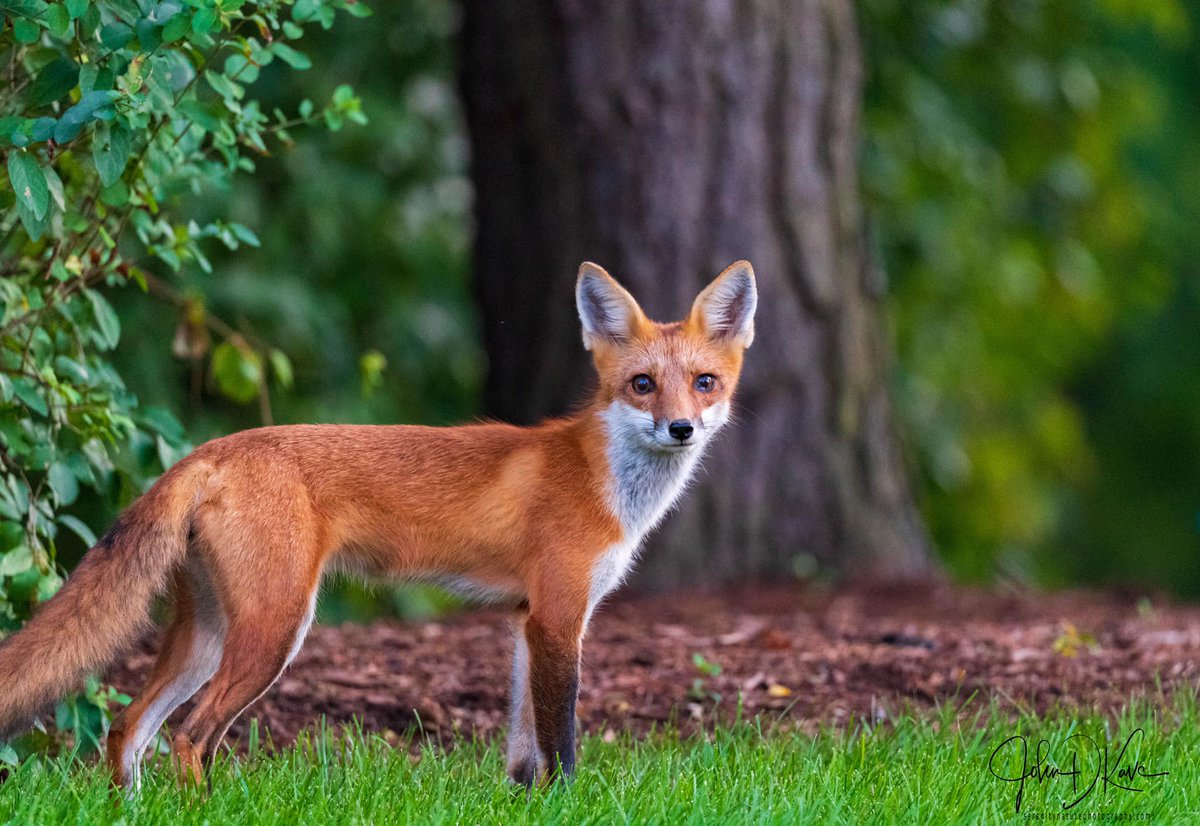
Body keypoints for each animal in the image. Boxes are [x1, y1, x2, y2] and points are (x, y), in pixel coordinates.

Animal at [0, 260, 757, 789]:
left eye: (705, 383)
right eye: (641, 385)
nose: (682, 429)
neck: (602, 481)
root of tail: (209, 450)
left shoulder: (525, 619)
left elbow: (523, 753)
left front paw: (526, 804)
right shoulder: (558, 617)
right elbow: (561, 745)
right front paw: (567, 806)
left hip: (208, 636)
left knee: (127, 727)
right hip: (275, 630)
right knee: (190, 737)